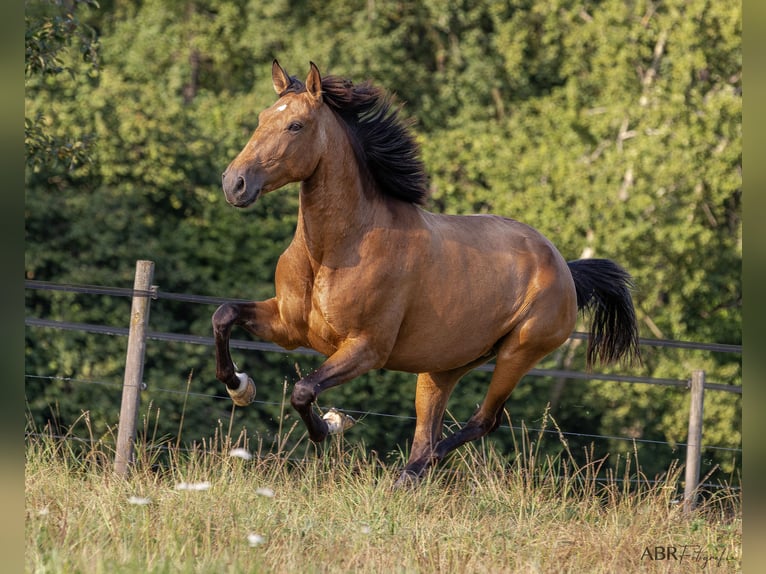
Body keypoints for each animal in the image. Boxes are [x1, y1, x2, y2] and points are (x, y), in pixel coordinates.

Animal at [213, 60, 641, 487]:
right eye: (262, 117)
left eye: (295, 125)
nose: (234, 183)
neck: (336, 250)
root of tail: (565, 268)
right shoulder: (289, 328)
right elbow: (224, 314)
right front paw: (240, 387)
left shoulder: (366, 348)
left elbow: (303, 390)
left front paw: (331, 424)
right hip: (445, 367)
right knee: (429, 430)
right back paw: (408, 477)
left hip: (518, 353)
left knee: (482, 421)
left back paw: (413, 472)